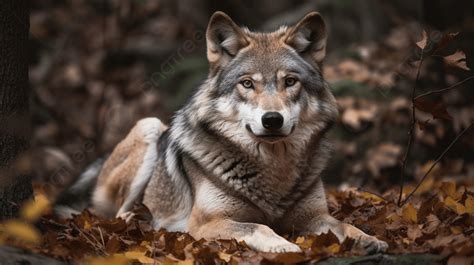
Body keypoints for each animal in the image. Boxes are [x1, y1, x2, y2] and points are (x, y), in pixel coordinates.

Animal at [56, 11, 388, 253]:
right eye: (247, 83)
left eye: (290, 81)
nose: (272, 119)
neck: (274, 169)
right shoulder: (206, 224)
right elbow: (259, 226)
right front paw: (285, 246)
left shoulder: (315, 216)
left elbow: (345, 225)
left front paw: (369, 239)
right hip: (148, 125)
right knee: (116, 214)